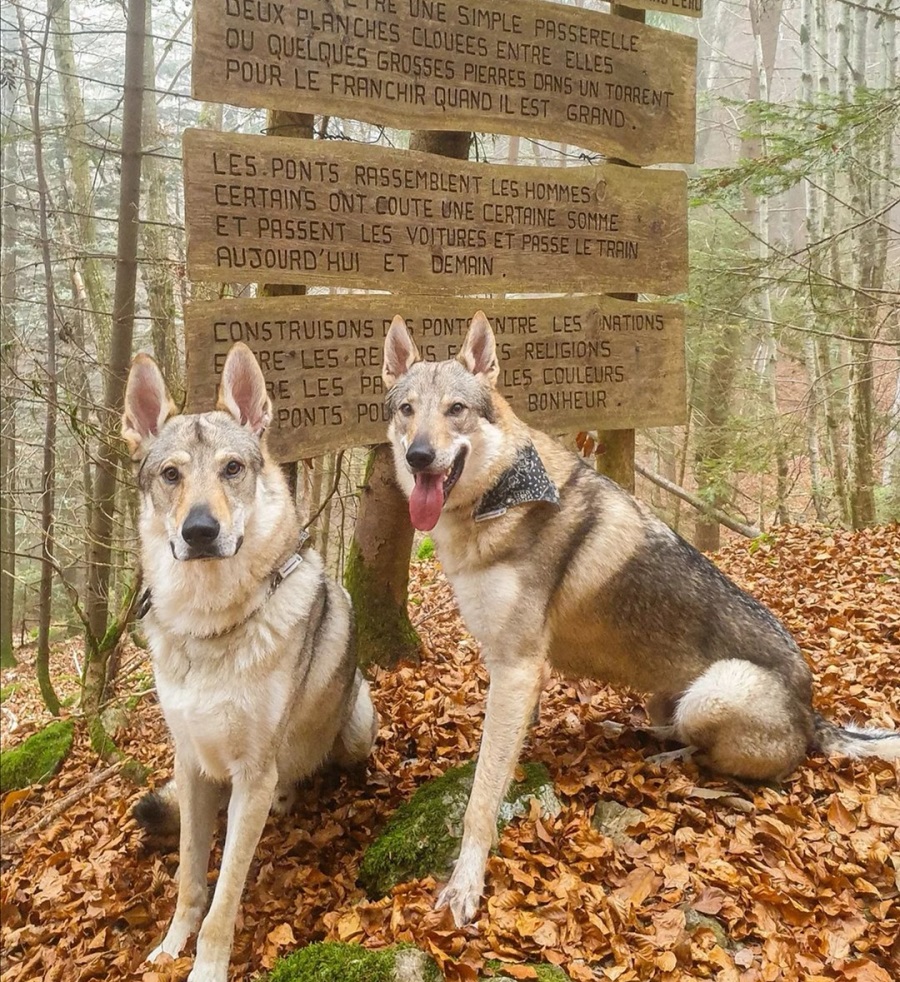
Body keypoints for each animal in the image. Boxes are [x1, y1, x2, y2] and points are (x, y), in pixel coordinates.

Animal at [122, 344, 376, 982]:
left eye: (232, 469)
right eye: (171, 475)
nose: (200, 531)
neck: (210, 627)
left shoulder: (252, 775)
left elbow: (224, 898)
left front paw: (206, 968)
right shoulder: (191, 765)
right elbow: (190, 879)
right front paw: (170, 947)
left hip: (358, 727)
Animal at [382, 312, 900, 928]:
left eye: (456, 409)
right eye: (406, 410)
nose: (418, 456)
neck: (497, 499)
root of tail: (813, 713)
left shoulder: (517, 667)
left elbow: (482, 796)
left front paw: (466, 883)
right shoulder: (516, 670)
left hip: (714, 693)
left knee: (708, 753)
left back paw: (667, 757)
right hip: (669, 695)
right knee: (668, 723)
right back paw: (634, 732)